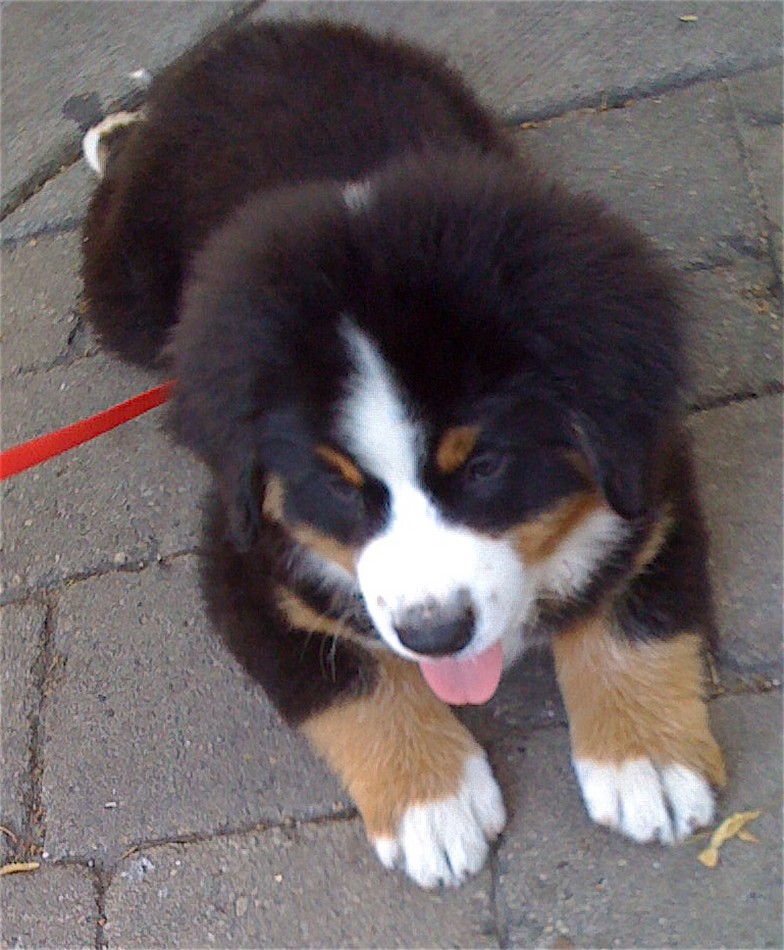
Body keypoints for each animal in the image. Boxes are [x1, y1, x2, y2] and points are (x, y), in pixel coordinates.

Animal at [82, 16, 724, 892]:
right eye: (339, 487)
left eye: (484, 466)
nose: (434, 636)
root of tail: (237, 42)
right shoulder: (243, 555)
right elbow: (345, 678)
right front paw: (433, 801)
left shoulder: (646, 469)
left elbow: (634, 604)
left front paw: (644, 758)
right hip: (126, 290)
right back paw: (110, 134)